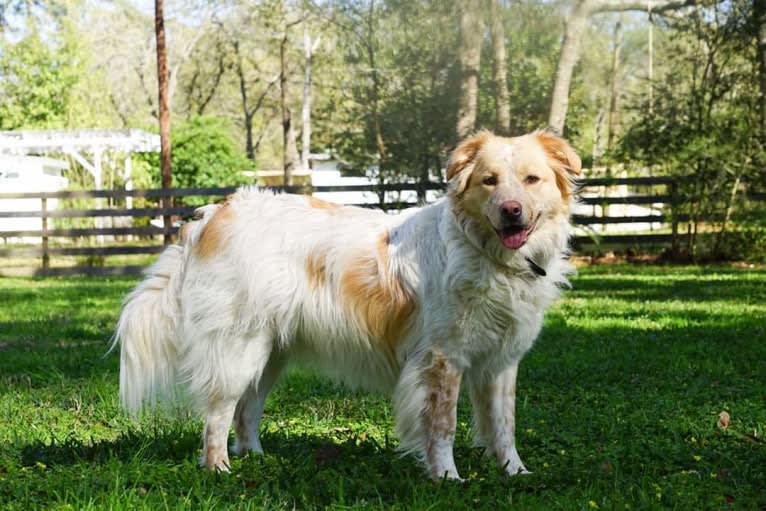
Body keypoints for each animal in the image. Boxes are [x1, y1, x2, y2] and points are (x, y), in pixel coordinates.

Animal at [114, 130, 584, 482]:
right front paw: (447, 478)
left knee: (247, 410)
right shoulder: (441, 359)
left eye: (532, 179)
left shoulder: (501, 362)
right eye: (489, 180)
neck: (485, 253)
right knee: (218, 412)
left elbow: (504, 426)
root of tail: (214, 213)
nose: (512, 211)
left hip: (269, 353)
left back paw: (256, 458)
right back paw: (219, 469)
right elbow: (442, 426)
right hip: (238, 350)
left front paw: (515, 472)